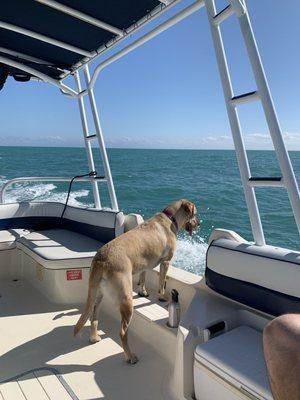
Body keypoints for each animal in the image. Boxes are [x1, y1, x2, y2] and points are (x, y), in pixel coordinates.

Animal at [73, 199, 198, 362]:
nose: (199, 223)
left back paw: (94, 338)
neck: (170, 218)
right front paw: (162, 296)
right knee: (122, 332)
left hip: (98, 294)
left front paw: (143, 292)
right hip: (126, 299)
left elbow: (143, 278)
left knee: (93, 318)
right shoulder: (165, 262)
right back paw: (130, 357)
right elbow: (162, 282)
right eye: (195, 214)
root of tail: (101, 259)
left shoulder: (146, 264)